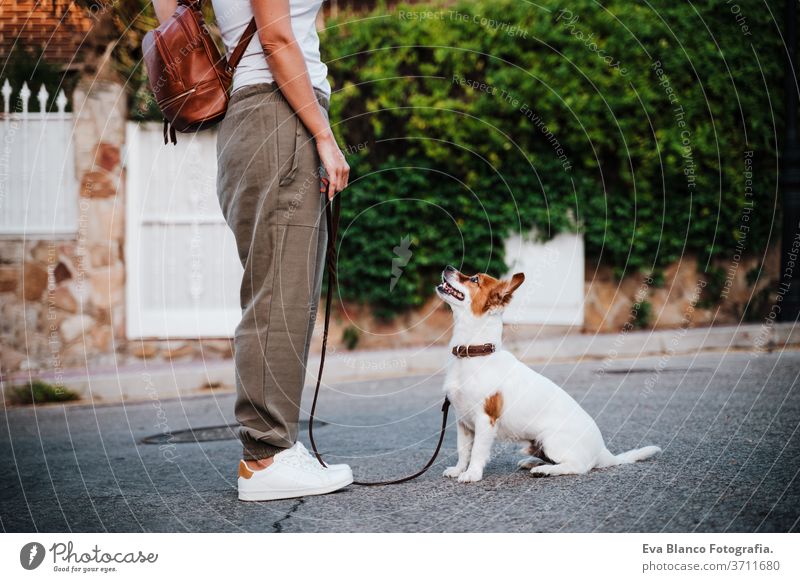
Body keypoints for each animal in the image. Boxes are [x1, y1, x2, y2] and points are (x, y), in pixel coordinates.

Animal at [434, 266, 660, 484]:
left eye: (474, 279)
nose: (448, 267)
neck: (472, 353)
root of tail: (603, 452)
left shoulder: (485, 419)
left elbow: (477, 451)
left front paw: (472, 474)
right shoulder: (463, 422)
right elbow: (463, 450)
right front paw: (458, 470)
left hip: (552, 440)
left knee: (577, 466)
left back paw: (544, 470)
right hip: (536, 443)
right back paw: (532, 462)